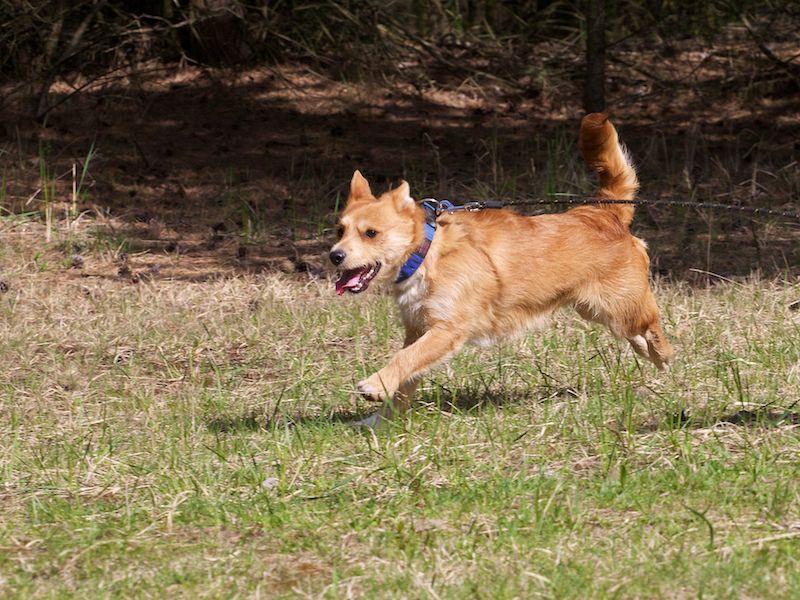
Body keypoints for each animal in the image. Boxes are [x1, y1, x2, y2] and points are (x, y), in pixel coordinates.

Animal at [330, 113, 673, 426]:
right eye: (340, 230)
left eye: (371, 233)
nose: (335, 256)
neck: (427, 253)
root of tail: (602, 214)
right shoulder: (418, 330)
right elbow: (408, 376)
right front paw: (381, 420)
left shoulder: (446, 330)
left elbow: (405, 359)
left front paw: (375, 384)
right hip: (595, 310)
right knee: (637, 334)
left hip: (621, 307)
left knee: (652, 323)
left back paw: (662, 354)